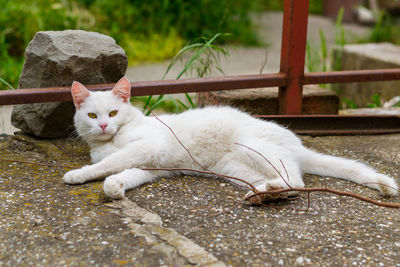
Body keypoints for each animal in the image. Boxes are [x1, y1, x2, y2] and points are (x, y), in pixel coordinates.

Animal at [62, 76, 396, 200]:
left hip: (252, 148)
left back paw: (274, 191)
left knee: (297, 181)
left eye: (113, 113)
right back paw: (264, 193)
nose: (103, 126)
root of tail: (300, 146)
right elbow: (123, 173)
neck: (108, 143)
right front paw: (114, 187)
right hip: (235, 169)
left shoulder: (147, 146)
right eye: (92, 115)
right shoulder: (151, 166)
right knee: (280, 182)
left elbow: (108, 164)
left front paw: (80, 174)